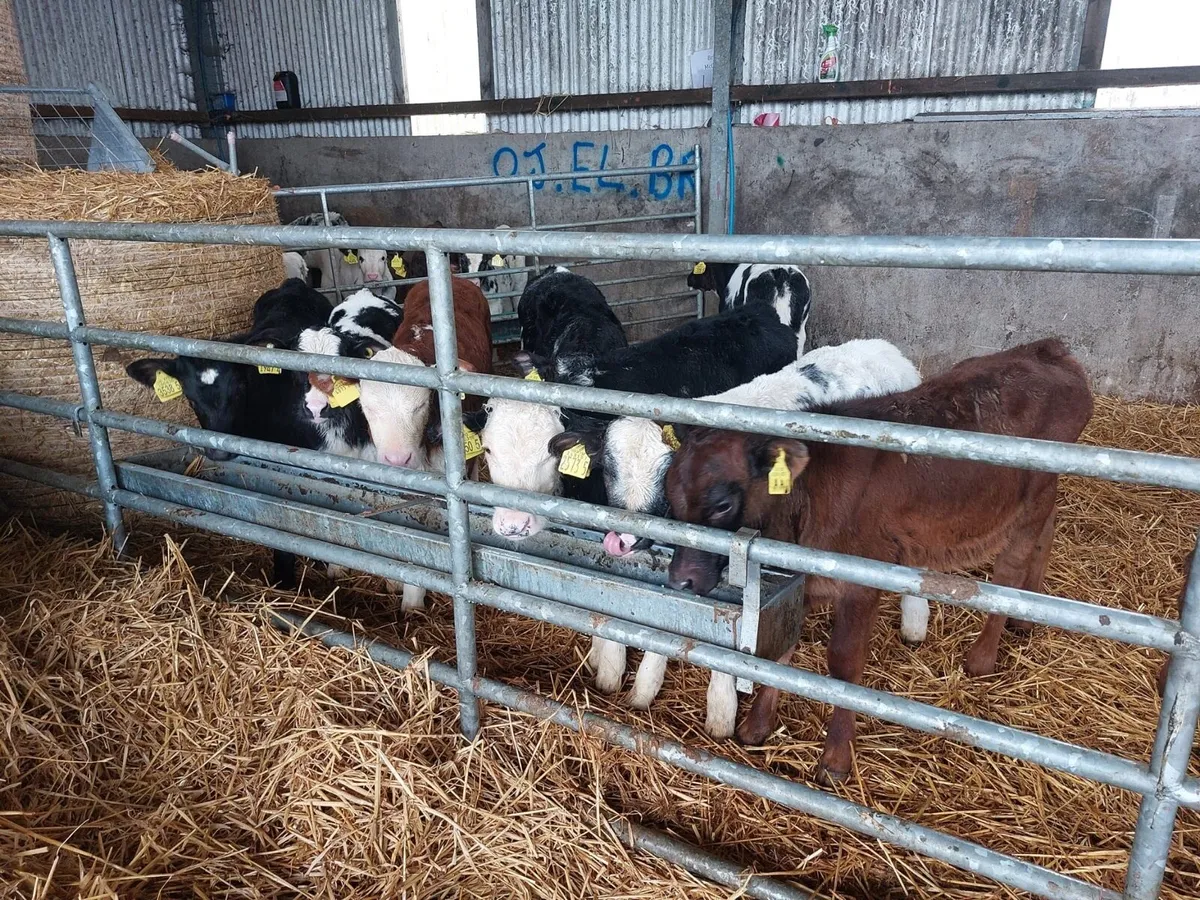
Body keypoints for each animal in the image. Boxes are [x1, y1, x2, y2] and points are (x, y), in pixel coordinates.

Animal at [663, 339, 1093, 783]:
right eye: (669, 492)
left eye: (723, 504)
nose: (681, 580)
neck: (804, 502)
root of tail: (1046, 350)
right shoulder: (797, 583)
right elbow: (781, 649)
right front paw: (757, 726)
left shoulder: (861, 580)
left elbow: (844, 665)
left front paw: (835, 759)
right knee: (1047, 536)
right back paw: (1026, 619)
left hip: (1032, 498)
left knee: (1011, 569)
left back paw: (982, 657)